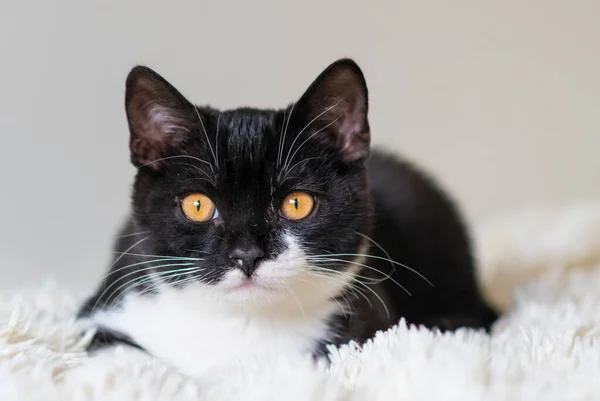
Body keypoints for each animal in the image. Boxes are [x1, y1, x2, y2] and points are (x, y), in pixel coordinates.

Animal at [77, 58, 496, 376]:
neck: (243, 327)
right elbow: (119, 354)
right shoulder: (104, 305)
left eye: (297, 204)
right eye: (197, 205)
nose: (246, 255)